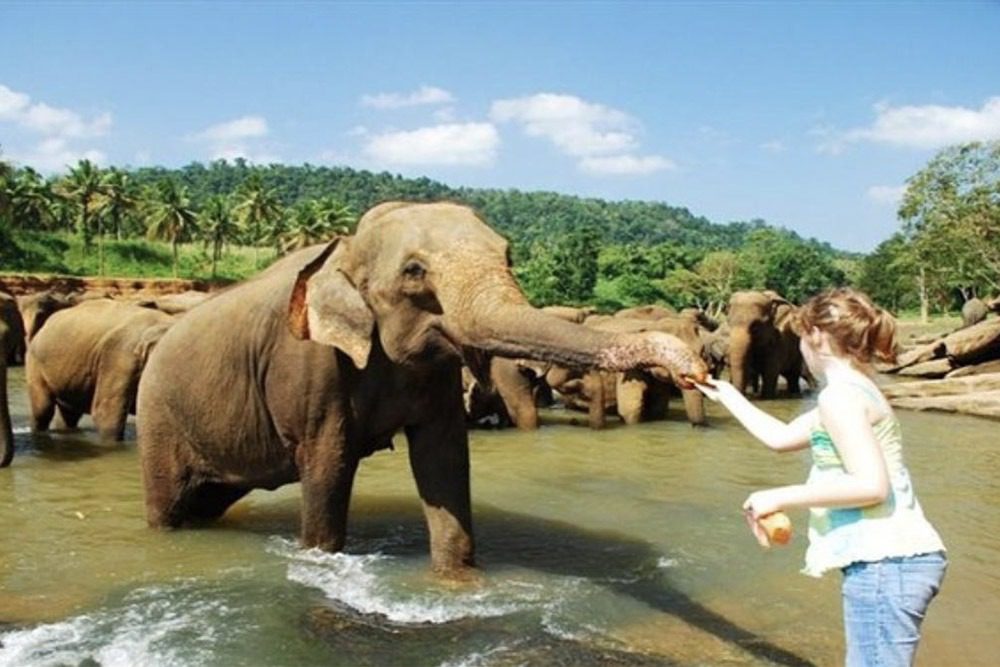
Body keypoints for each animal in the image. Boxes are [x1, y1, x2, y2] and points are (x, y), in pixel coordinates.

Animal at [136, 202, 707, 575]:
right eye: (414, 271)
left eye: (509, 256)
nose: (695, 366)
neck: (346, 246)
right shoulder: (311, 367)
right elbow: (327, 466)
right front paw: (320, 560)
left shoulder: (436, 373)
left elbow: (443, 460)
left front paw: (456, 580)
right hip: (160, 419)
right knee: (169, 507)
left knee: (207, 501)